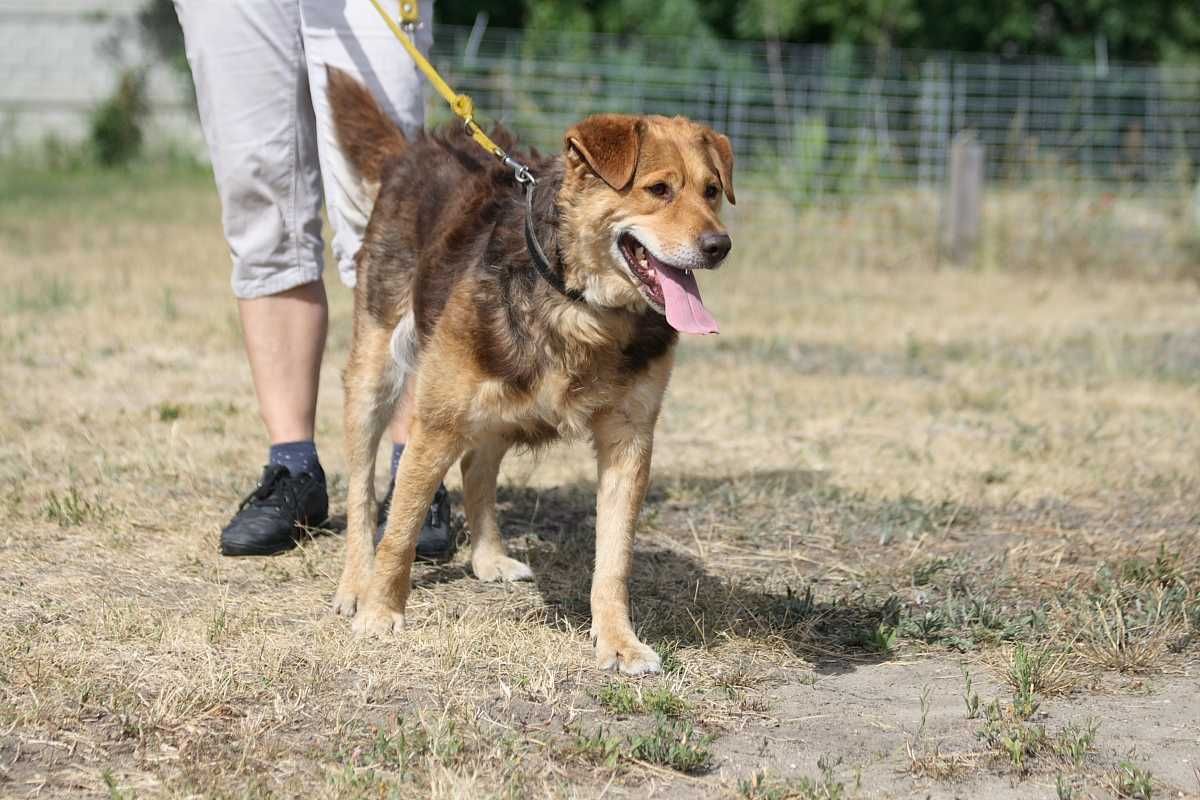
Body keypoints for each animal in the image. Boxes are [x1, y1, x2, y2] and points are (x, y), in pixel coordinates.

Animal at [326, 67, 729, 676]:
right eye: (659, 189)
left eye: (712, 191)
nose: (719, 245)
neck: (581, 303)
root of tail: (415, 149)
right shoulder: (436, 421)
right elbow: (400, 526)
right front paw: (380, 613)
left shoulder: (629, 438)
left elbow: (614, 558)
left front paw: (618, 641)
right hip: (378, 373)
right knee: (363, 491)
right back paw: (356, 582)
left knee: (477, 464)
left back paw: (489, 558)